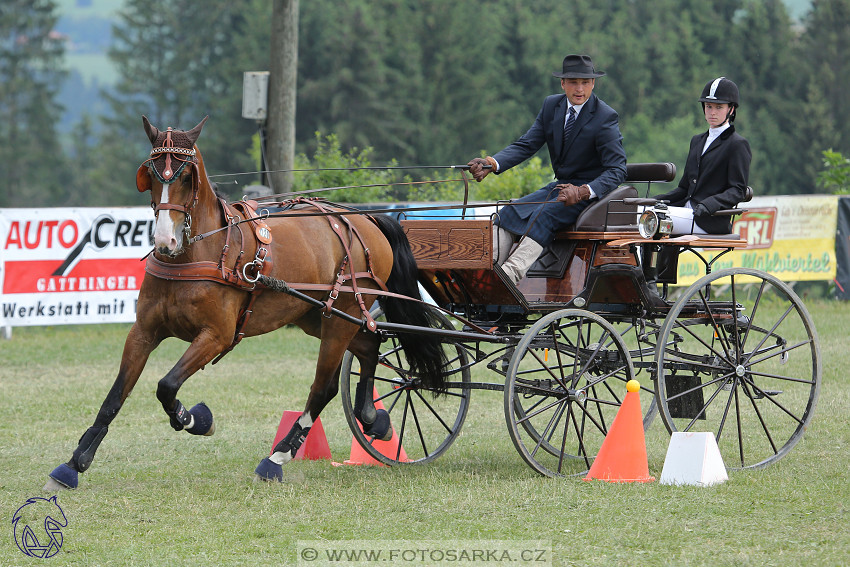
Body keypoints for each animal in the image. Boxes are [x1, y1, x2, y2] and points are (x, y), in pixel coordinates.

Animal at [48, 117, 444, 490]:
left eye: (186, 176)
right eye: (150, 174)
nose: (164, 240)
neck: (201, 252)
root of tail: (364, 218)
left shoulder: (216, 335)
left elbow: (167, 385)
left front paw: (194, 419)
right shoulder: (143, 331)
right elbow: (115, 396)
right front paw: (74, 463)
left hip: (340, 315)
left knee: (324, 386)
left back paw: (277, 457)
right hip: (318, 316)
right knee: (368, 347)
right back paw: (373, 419)